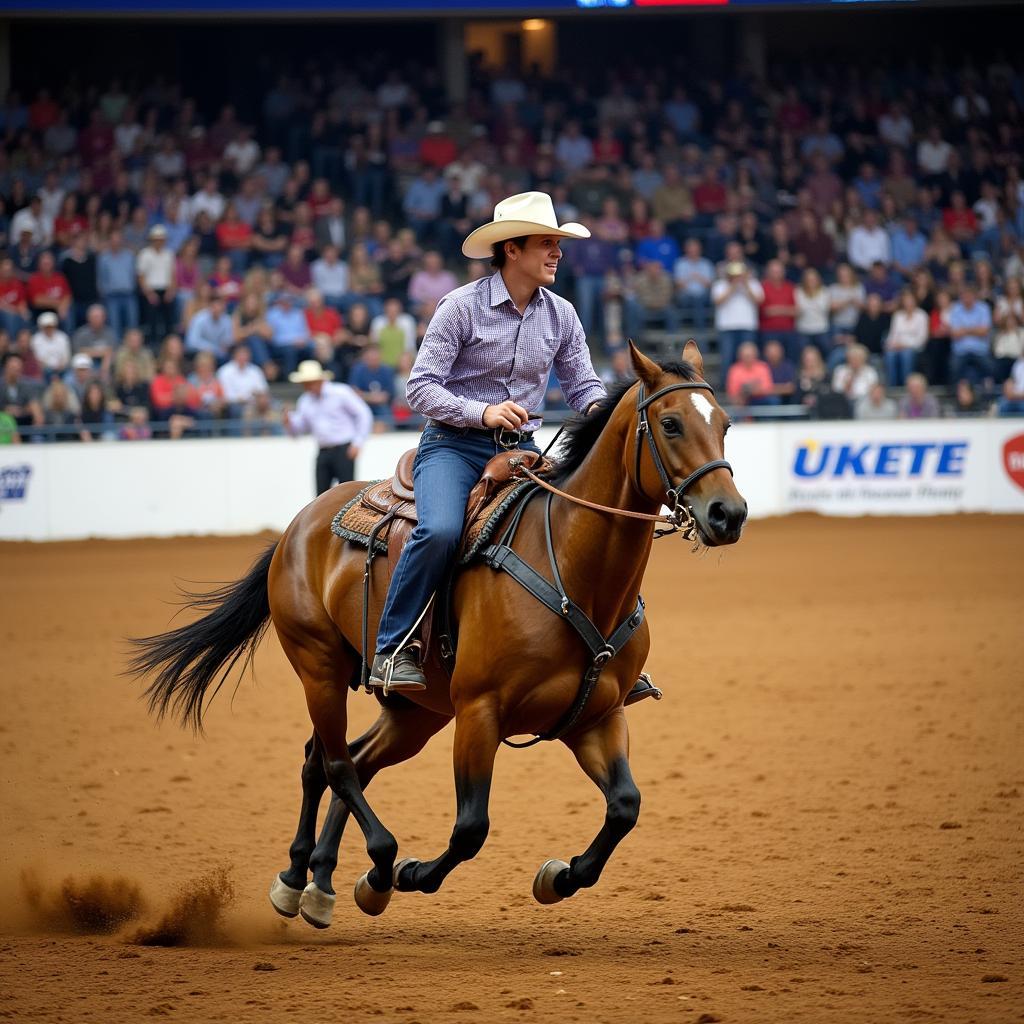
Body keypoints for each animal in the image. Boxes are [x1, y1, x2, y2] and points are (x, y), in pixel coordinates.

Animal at [132, 342, 749, 929]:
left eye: (723, 423)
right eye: (670, 423)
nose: (729, 514)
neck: (575, 571)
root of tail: (299, 524)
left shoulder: (597, 715)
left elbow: (624, 806)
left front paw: (557, 877)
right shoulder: (480, 711)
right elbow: (470, 827)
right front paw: (401, 875)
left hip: (417, 710)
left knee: (343, 761)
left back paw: (313, 883)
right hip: (320, 669)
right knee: (334, 764)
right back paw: (362, 869)